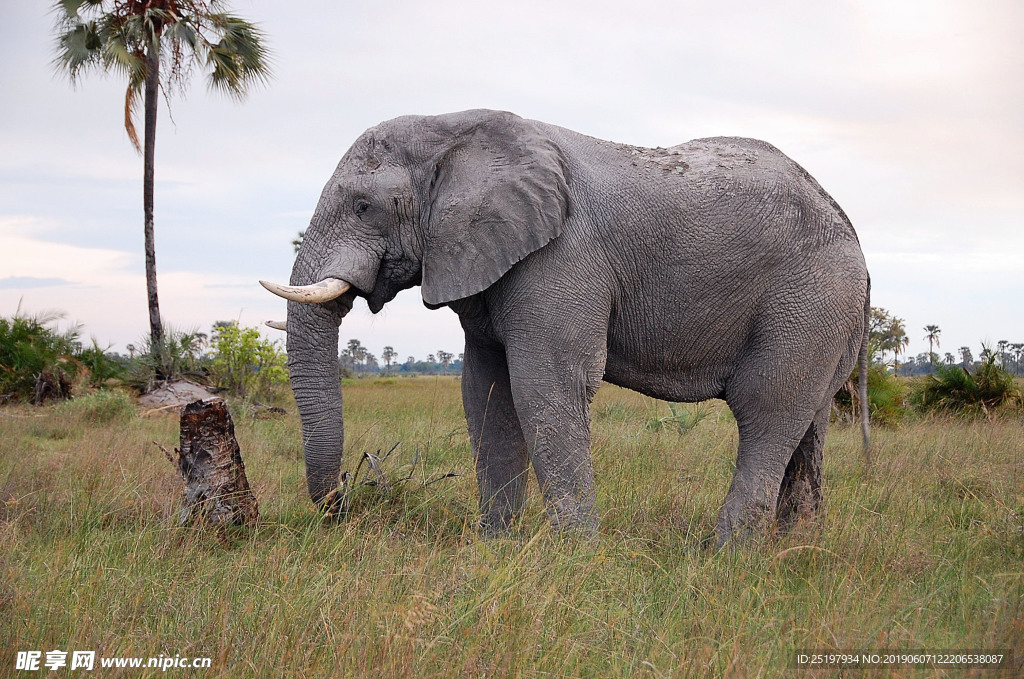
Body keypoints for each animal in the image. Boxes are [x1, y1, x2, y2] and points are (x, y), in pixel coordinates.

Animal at [260, 109, 868, 548]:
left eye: (364, 206)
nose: (344, 503)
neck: (454, 129)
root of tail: (852, 234)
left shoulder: (561, 257)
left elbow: (546, 389)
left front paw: (576, 558)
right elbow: (486, 393)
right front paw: (496, 550)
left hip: (810, 297)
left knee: (766, 409)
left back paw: (724, 558)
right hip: (826, 315)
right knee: (808, 425)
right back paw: (794, 551)